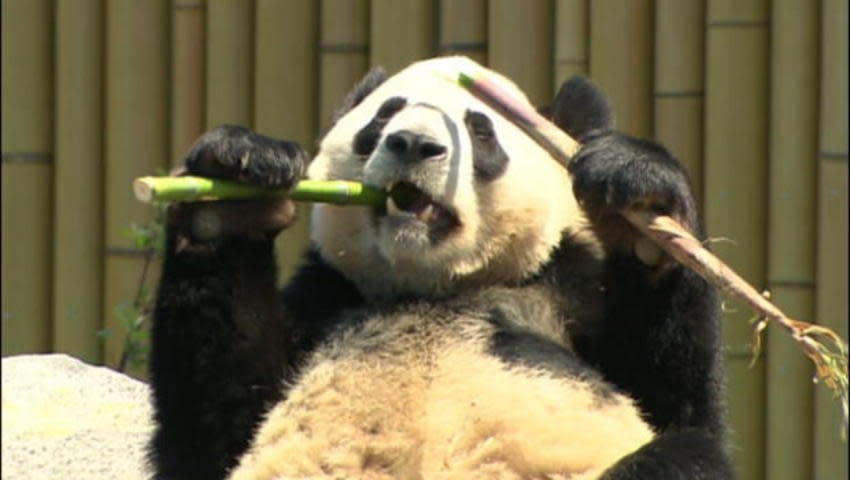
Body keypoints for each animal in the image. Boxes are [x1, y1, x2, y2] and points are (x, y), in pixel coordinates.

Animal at [149, 57, 732, 480]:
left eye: (480, 131)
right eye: (384, 116)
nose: (412, 144)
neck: (434, 287)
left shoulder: (571, 289)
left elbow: (675, 402)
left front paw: (639, 201)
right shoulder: (327, 297)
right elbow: (218, 425)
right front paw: (231, 189)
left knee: (682, 457)